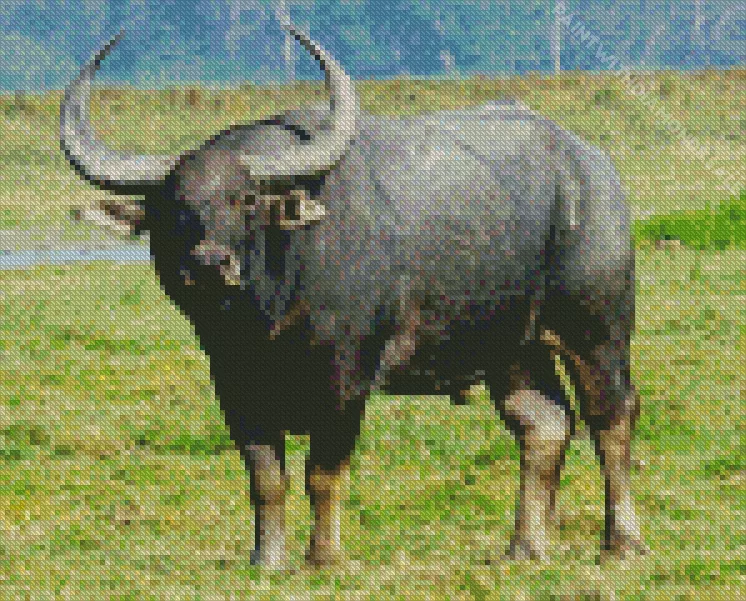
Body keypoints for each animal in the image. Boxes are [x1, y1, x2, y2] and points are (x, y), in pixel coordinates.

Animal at [60, 15, 646, 568]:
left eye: (245, 199)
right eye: (170, 208)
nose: (208, 264)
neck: (268, 313)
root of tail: (592, 167)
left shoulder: (345, 377)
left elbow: (323, 471)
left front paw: (323, 555)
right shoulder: (233, 381)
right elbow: (265, 476)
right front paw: (267, 558)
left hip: (597, 331)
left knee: (611, 418)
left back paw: (621, 541)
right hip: (512, 348)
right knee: (544, 424)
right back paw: (525, 546)